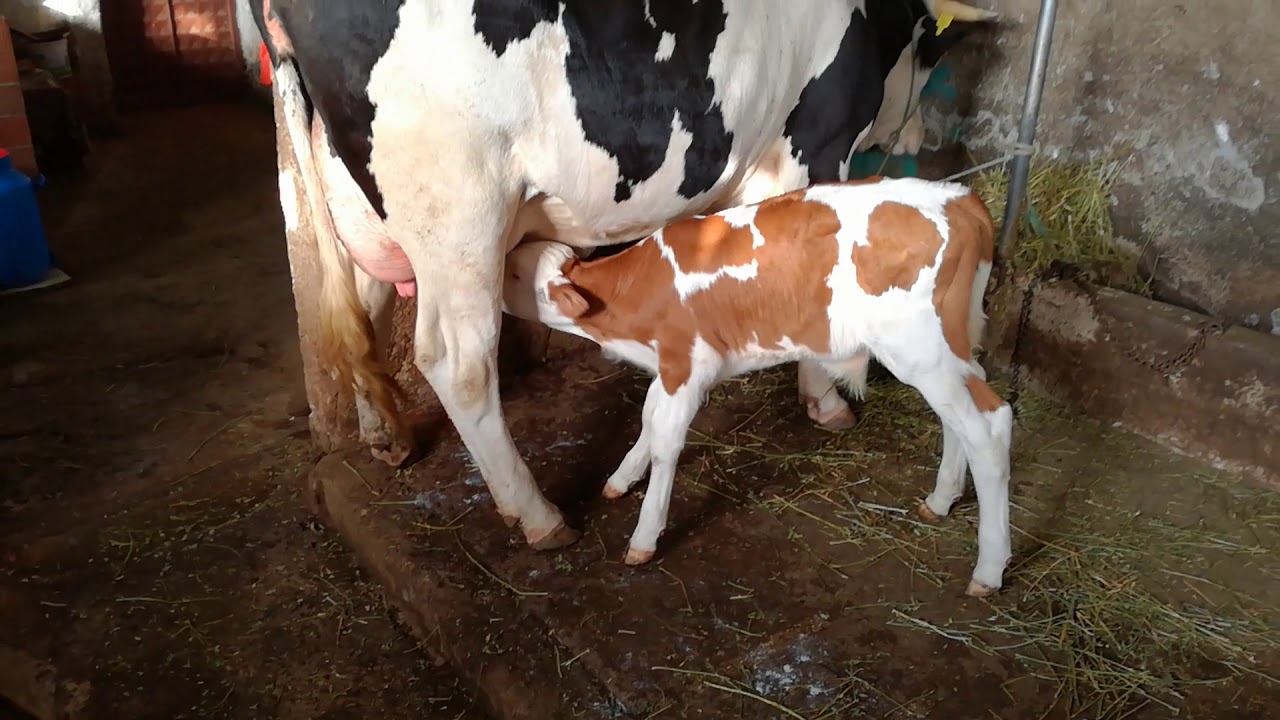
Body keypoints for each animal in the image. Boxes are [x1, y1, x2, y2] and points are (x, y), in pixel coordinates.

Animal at [254, 0, 998, 548]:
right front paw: (826, 400)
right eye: (931, 49)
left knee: (367, 304)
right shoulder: (814, 143)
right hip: (458, 208)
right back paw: (538, 515)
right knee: (456, 361)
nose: (918, 139)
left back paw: (387, 436)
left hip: (364, 203)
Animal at [499, 175, 1008, 594]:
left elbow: (666, 442)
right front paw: (622, 479)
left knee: (989, 425)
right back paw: (940, 500)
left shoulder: (689, 364)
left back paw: (989, 568)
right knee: (960, 418)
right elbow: (647, 417)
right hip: (949, 346)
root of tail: (961, 198)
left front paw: (645, 535)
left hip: (919, 348)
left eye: (515, 273)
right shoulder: (669, 368)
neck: (631, 295)